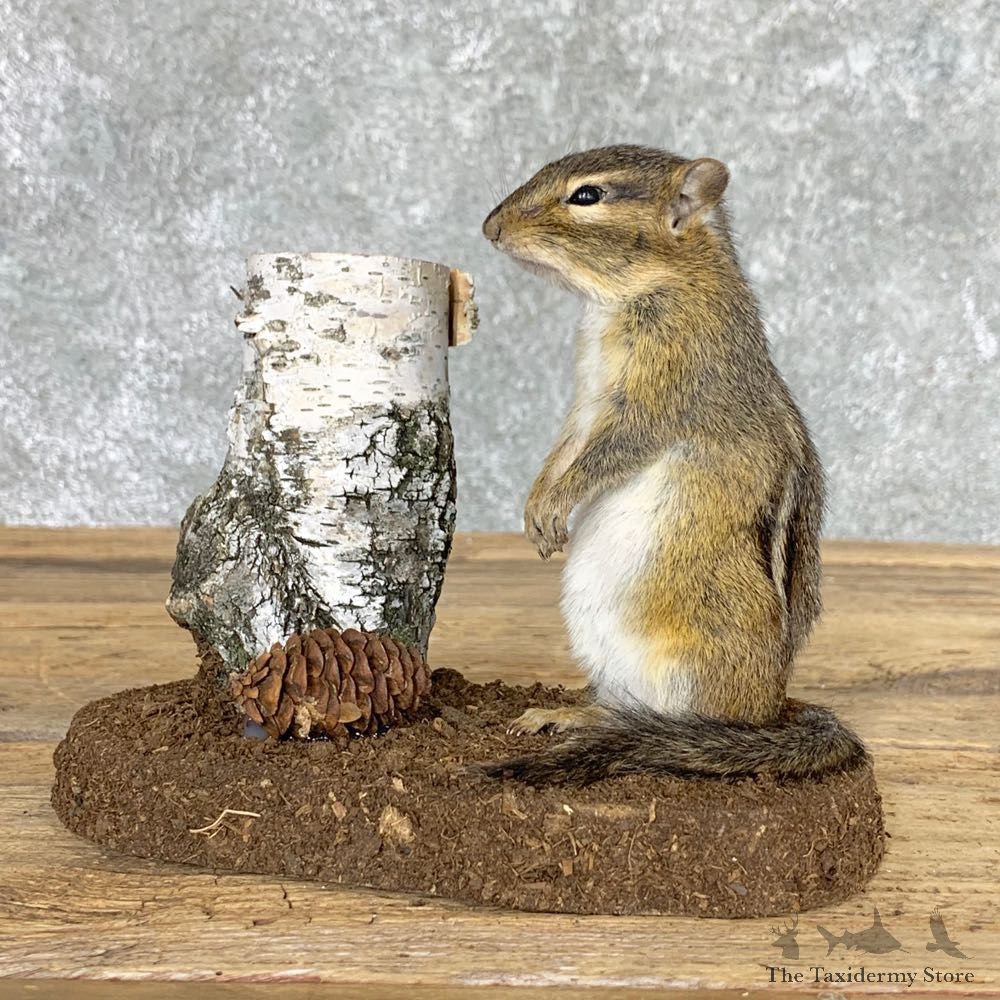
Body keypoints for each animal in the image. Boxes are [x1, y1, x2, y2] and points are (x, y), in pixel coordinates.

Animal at [479, 144, 868, 785]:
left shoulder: (658, 392)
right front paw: (536, 504)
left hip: (688, 662)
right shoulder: (587, 400)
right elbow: (565, 445)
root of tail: (770, 708)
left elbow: (609, 453)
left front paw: (557, 503)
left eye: (587, 195)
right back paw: (567, 713)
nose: (492, 228)